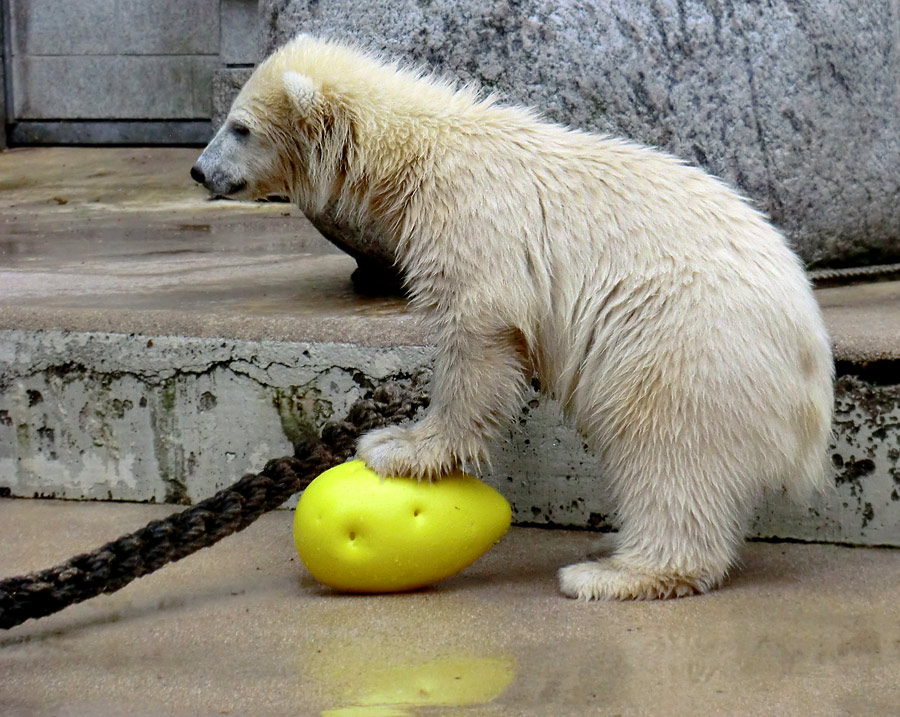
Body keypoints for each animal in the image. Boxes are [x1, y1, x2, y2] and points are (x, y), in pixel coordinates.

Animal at [193, 36, 832, 600]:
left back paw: (614, 574)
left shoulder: (473, 217)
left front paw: (402, 445)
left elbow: (480, 330)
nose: (199, 171)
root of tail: (812, 378)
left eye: (240, 127)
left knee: (666, 445)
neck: (417, 150)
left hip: (687, 341)